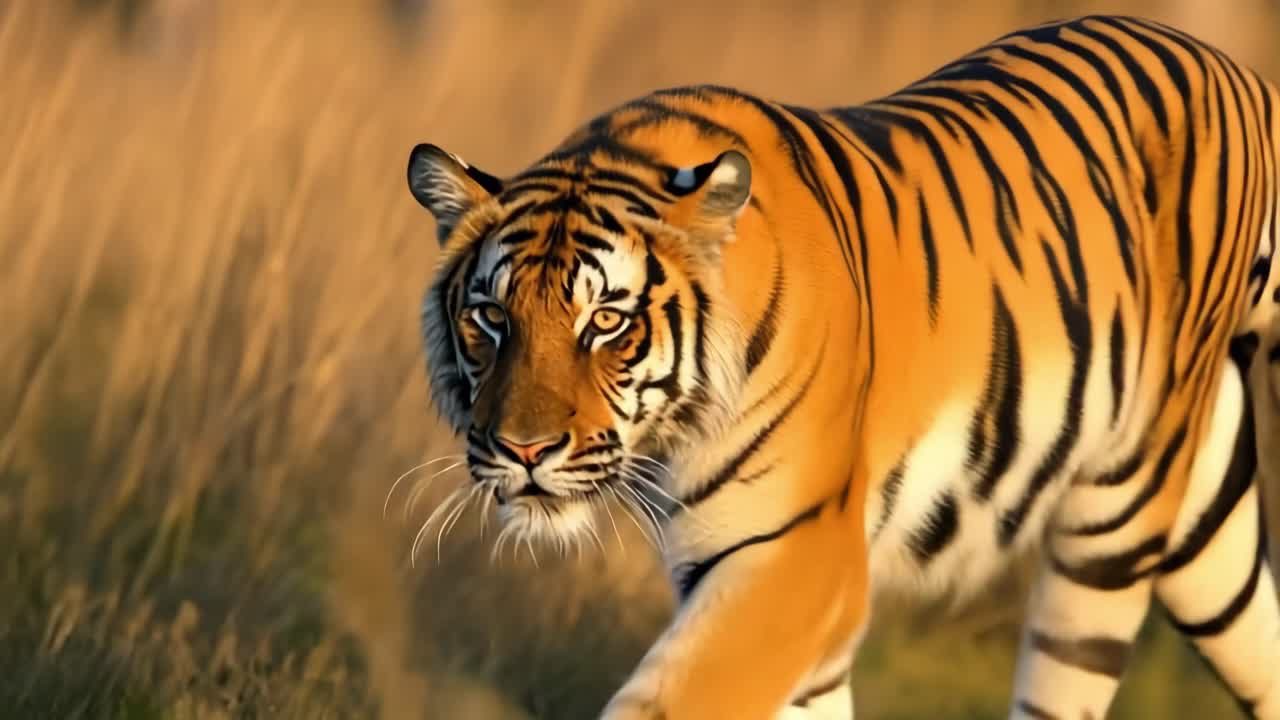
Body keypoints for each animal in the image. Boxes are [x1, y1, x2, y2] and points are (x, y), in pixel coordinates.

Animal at [405, 14, 1280, 720]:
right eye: (492, 319)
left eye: (607, 322)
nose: (523, 450)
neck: (666, 441)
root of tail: (1228, 69)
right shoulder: (783, 603)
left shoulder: (794, 558)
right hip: (1203, 527)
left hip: (1116, 512)